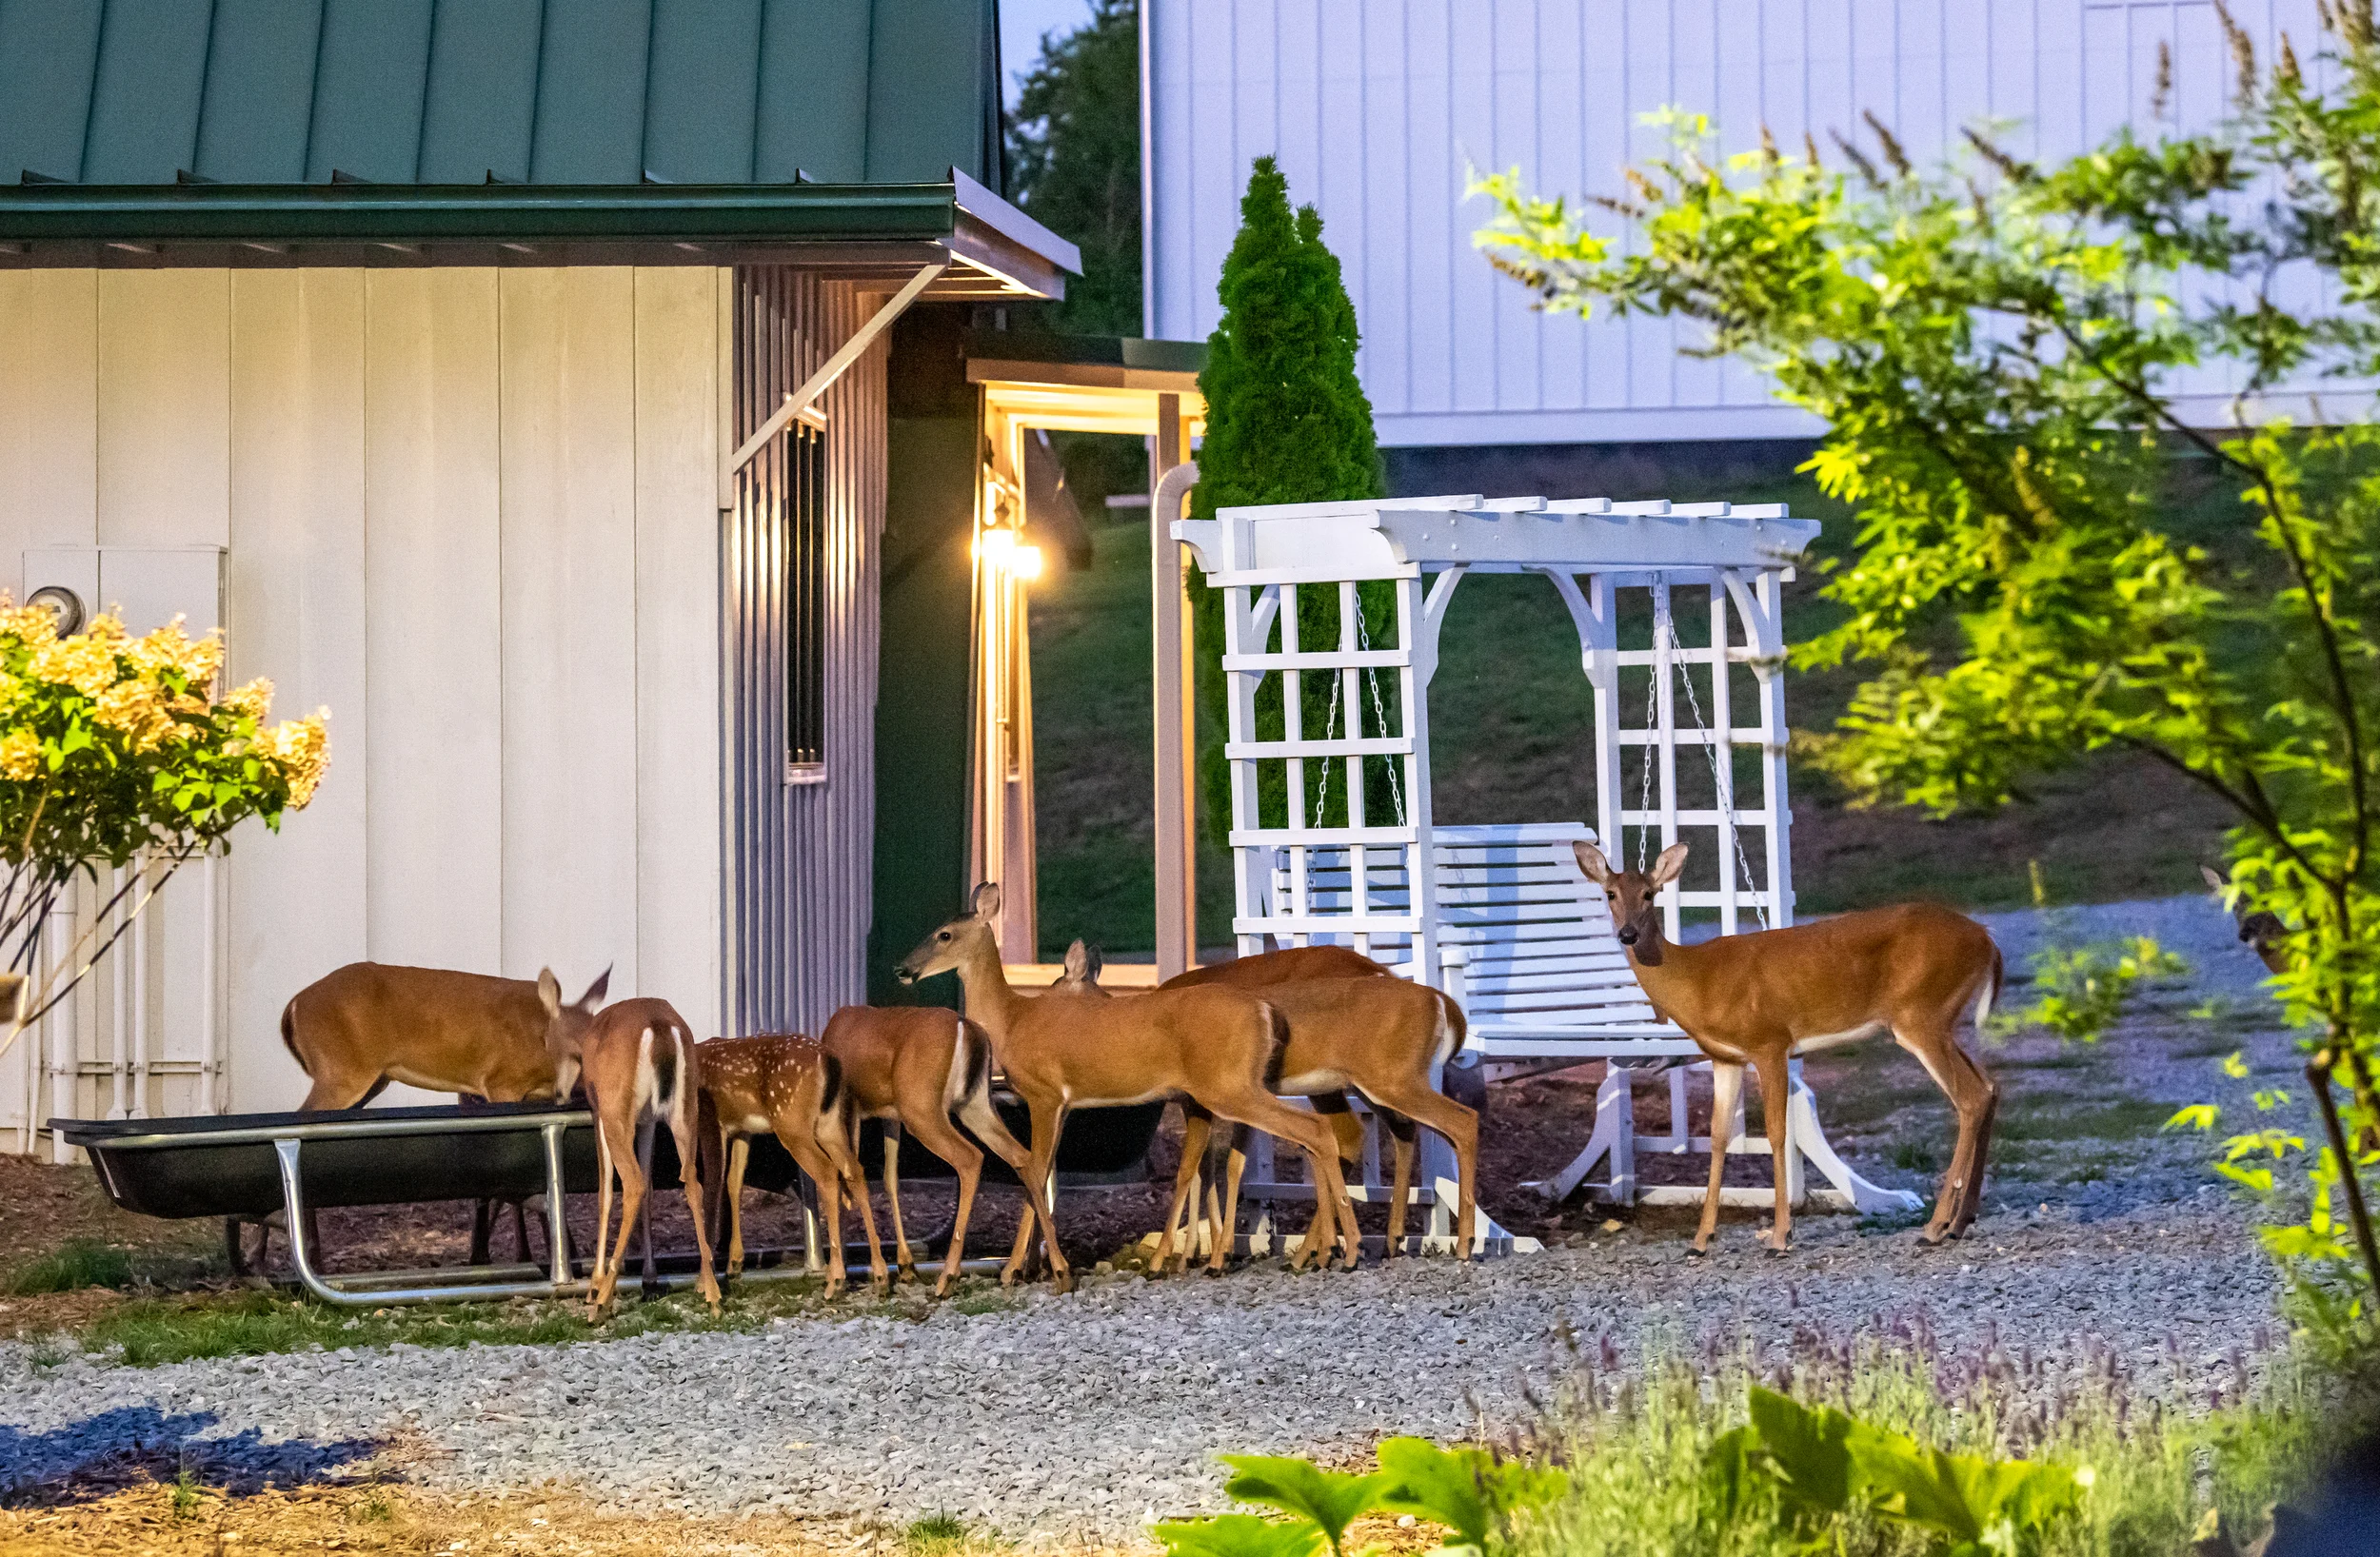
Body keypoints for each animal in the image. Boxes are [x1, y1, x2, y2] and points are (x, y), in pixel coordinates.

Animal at [538, 983, 722, 1319]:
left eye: (546, 1038)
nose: (558, 1092)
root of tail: (659, 1026)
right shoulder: (648, 1120)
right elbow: (650, 1190)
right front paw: (650, 1278)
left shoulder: (599, 1112)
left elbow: (605, 1192)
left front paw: (595, 1284)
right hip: (684, 1110)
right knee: (691, 1181)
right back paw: (711, 1291)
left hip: (617, 1111)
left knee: (633, 1184)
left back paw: (601, 1300)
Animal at [697, 1033, 883, 1298]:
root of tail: (828, 1059)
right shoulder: (743, 1129)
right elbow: (734, 1183)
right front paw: (734, 1264)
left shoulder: (710, 1123)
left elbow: (712, 1189)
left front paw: (703, 1283)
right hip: (829, 1123)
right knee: (854, 1170)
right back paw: (880, 1275)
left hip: (792, 1123)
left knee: (827, 1173)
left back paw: (835, 1281)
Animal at [822, 1005, 1037, 1296]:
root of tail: (967, 1027)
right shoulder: (890, 1114)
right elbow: (890, 1179)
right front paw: (905, 1266)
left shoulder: (849, 1108)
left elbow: (848, 1180)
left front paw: (848, 1277)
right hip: (974, 1103)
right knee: (1024, 1157)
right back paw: (1014, 1270)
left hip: (921, 1108)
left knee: (971, 1157)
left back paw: (948, 1277)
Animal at [894, 884, 1355, 1291]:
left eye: (944, 934)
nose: (902, 969)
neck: (1012, 1020)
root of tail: (1265, 1010)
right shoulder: (1064, 1105)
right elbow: (1040, 1171)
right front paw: (1033, 1266)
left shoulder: (1043, 1093)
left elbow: (1034, 1169)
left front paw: (1016, 1270)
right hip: (1235, 1087)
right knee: (1313, 1136)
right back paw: (1315, 1251)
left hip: (1228, 1086)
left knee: (1314, 1131)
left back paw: (1341, 1252)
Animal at [1574, 841, 2004, 1254]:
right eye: (1610, 893)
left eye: (1649, 893)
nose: (1628, 934)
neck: (1697, 980)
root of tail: (1988, 940)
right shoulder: (1725, 1058)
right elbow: (1717, 1137)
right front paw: (1700, 1241)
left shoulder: (1769, 1042)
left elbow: (1778, 1133)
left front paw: (1780, 1237)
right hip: (1943, 1021)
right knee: (1990, 1086)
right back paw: (1960, 1222)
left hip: (1920, 1015)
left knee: (1970, 1097)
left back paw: (1934, 1228)